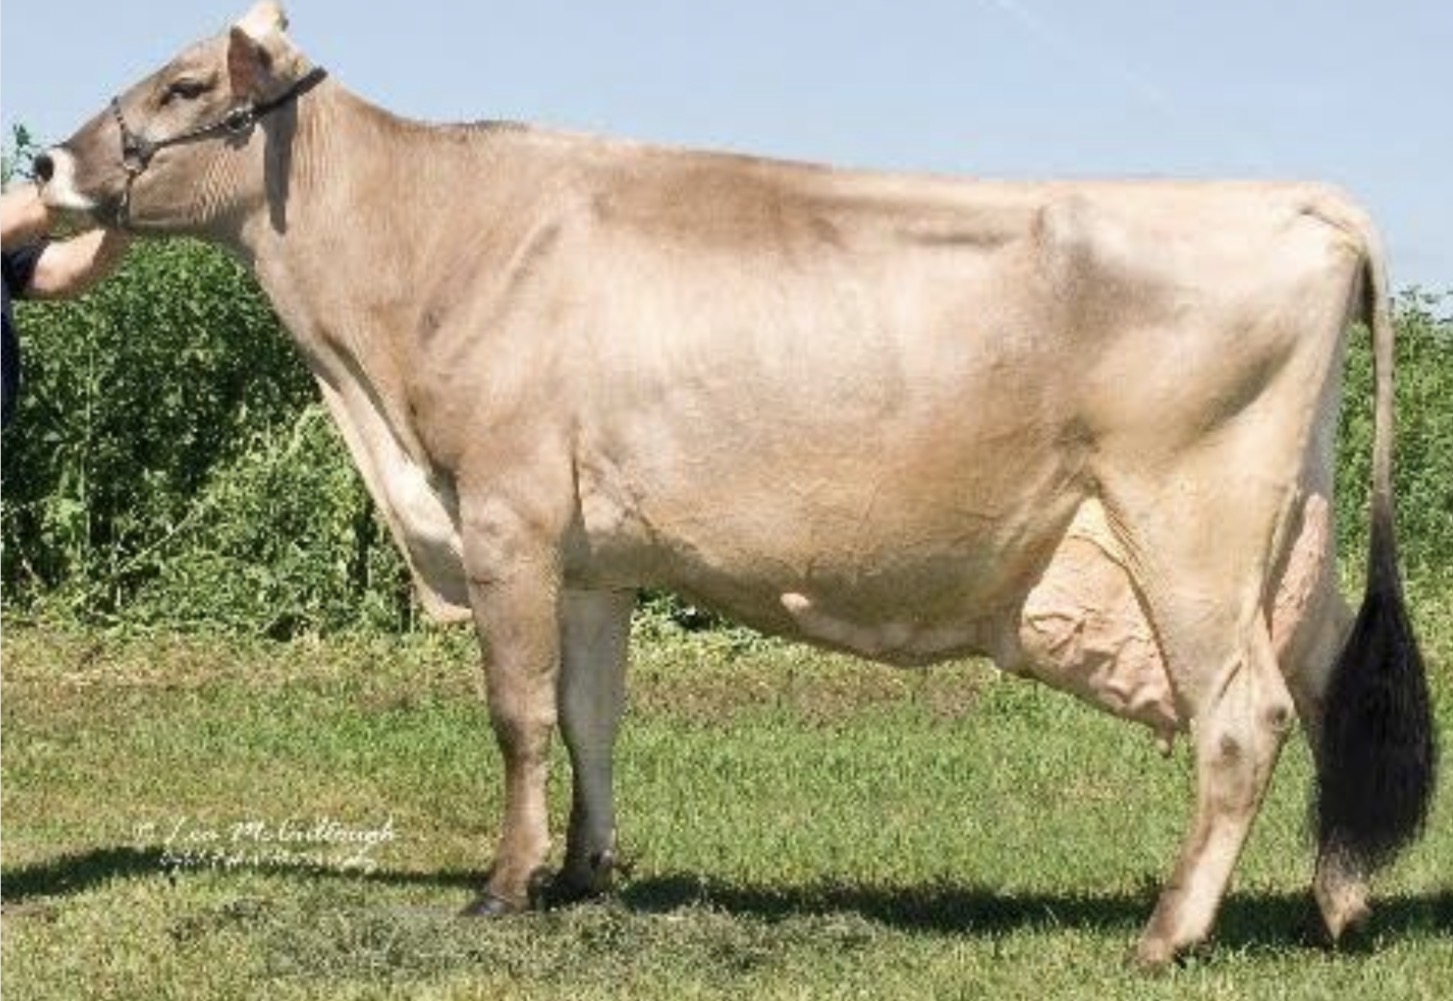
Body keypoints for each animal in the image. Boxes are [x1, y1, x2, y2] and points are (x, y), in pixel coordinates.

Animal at [35, 2, 1435, 967]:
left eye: (183, 82)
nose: (49, 163)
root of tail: (1298, 203)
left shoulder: (504, 508)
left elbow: (518, 712)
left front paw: (504, 886)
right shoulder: (589, 552)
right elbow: (592, 713)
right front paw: (588, 872)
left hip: (1189, 525)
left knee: (1244, 712)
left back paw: (1166, 930)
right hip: (1291, 532)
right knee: (1326, 691)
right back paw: (1335, 908)